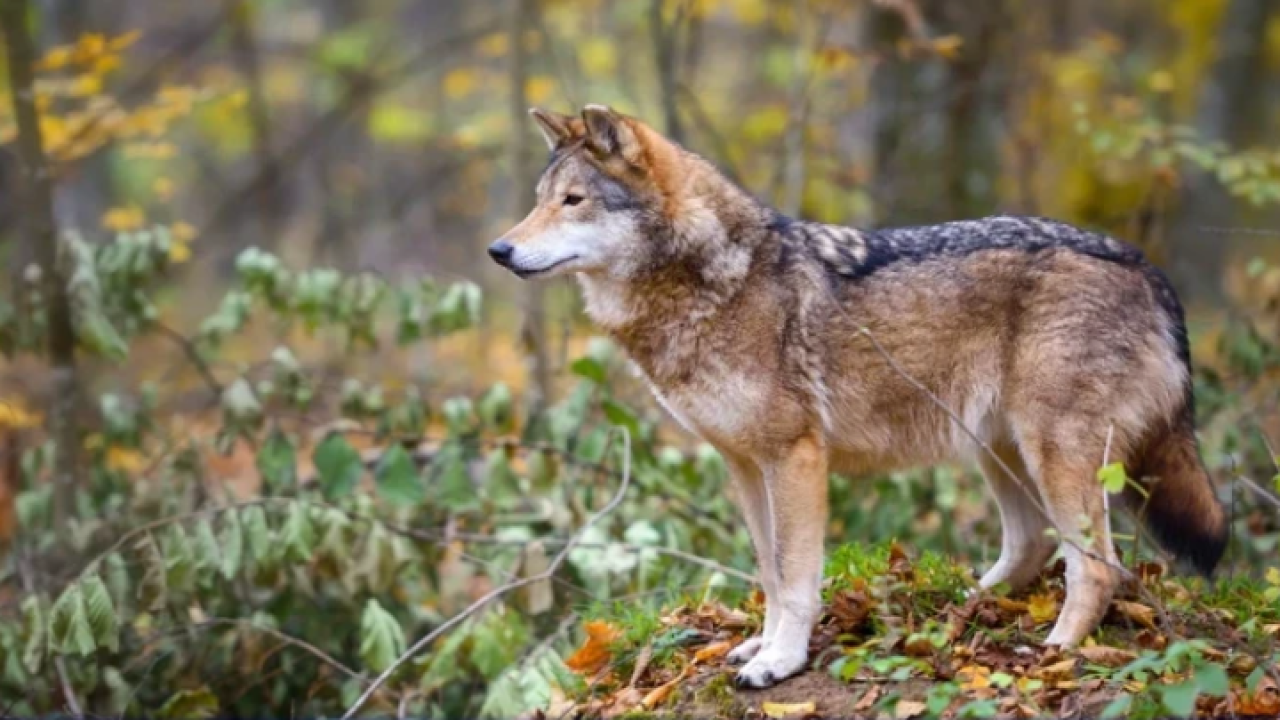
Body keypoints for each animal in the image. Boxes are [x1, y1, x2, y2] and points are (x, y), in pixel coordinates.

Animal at [487, 104, 1228, 689]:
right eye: (539, 198)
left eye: (573, 201)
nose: (498, 250)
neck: (713, 281)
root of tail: (1148, 266)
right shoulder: (744, 465)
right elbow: (770, 573)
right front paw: (762, 645)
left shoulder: (795, 458)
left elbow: (795, 577)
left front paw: (780, 662)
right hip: (999, 451)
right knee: (1029, 548)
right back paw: (959, 610)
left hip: (1054, 455)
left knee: (1098, 568)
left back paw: (1052, 654)